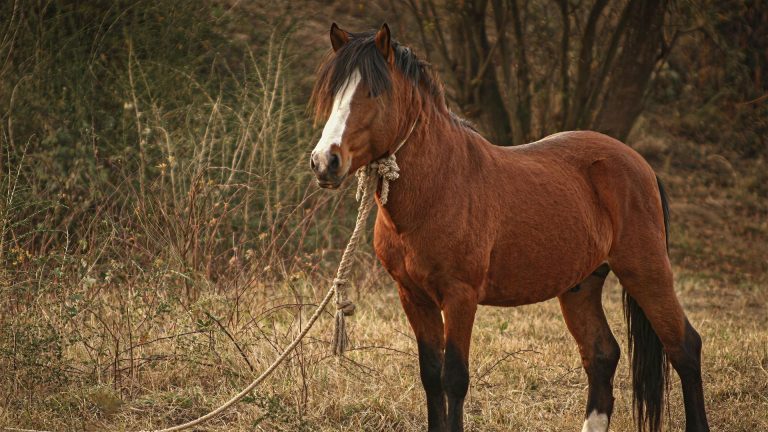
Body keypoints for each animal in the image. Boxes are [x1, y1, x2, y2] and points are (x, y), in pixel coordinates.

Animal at [309, 23, 709, 432]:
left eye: (374, 92)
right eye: (333, 92)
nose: (325, 162)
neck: (441, 186)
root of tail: (639, 163)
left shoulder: (460, 296)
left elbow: (454, 378)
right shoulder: (413, 296)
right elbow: (431, 376)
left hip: (646, 272)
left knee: (684, 348)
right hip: (580, 285)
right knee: (602, 355)